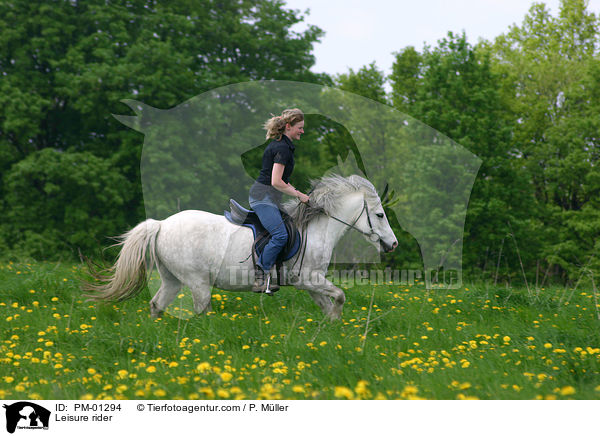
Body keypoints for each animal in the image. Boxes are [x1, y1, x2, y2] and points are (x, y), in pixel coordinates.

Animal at [82, 175, 396, 320]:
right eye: (380, 215)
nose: (393, 244)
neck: (314, 230)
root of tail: (161, 224)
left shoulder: (310, 283)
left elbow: (328, 304)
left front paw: (332, 327)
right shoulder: (309, 278)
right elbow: (340, 296)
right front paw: (336, 323)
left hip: (172, 279)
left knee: (157, 305)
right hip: (198, 282)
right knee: (202, 311)